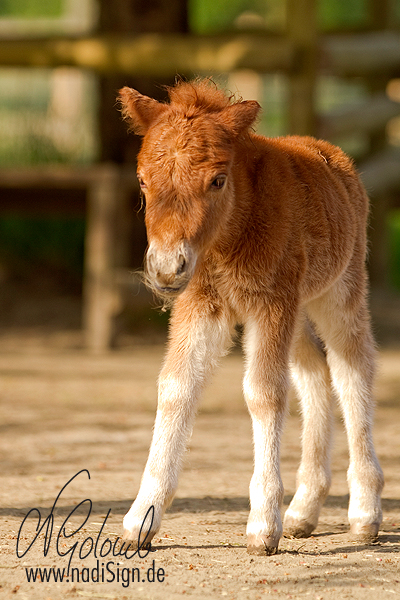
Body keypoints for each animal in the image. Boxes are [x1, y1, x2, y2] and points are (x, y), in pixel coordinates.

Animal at [118, 81, 384, 556]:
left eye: (217, 180)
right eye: (143, 181)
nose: (166, 268)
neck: (227, 239)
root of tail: (332, 154)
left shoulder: (269, 303)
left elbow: (264, 394)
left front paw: (262, 525)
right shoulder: (199, 303)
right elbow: (176, 387)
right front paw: (141, 519)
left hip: (339, 290)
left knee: (352, 369)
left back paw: (364, 514)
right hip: (298, 309)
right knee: (314, 372)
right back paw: (303, 511)